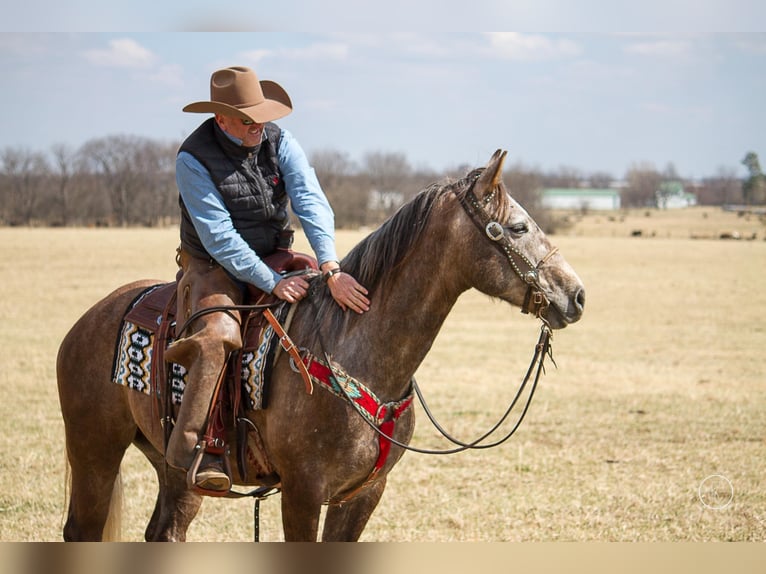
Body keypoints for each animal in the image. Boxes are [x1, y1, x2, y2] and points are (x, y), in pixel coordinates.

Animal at [58, 151, 588, 544]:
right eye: (517, 227)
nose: (576, 295)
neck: (358, 350)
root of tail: (89, 319)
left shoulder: (363, 495)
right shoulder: (303, 493)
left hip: (171, 466)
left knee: (164, 531)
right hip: (94, 451)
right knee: (82, 530)